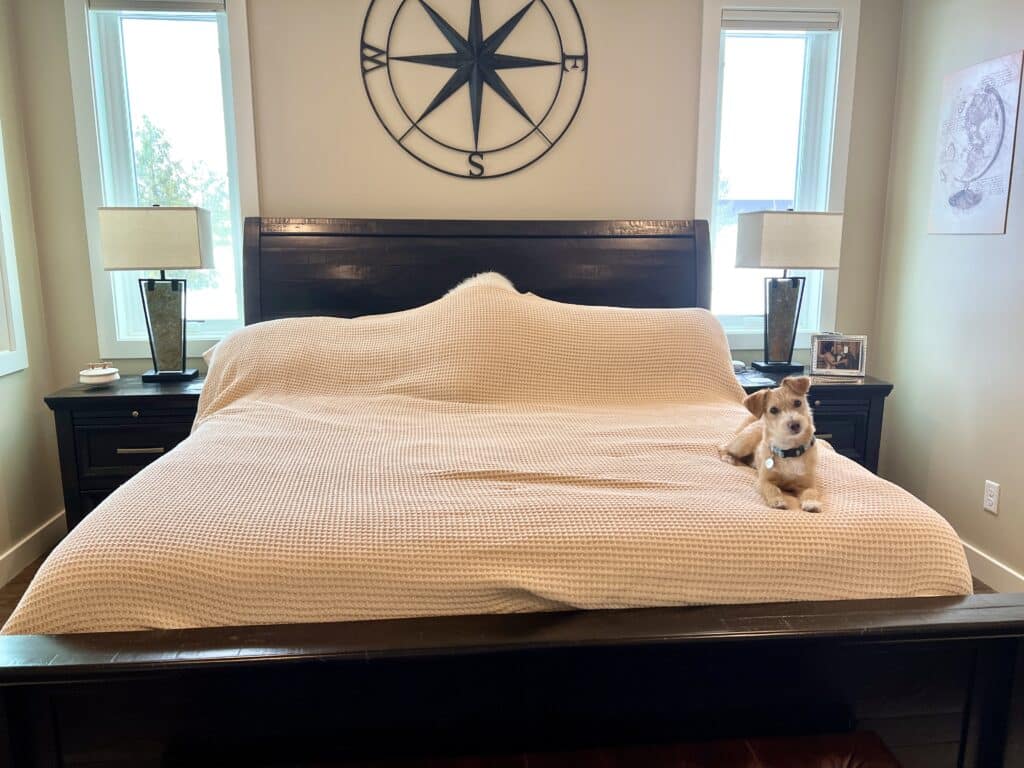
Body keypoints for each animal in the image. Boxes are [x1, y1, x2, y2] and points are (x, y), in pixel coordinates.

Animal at [720, 376, 823, 514]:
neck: (790, 450)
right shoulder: (763, 481)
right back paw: (728, 457)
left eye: (797, 403)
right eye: (773, 410)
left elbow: (811, 492)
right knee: (723, 447)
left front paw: (811, 503)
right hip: (744, 443)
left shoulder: (808, 483)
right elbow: (772, 488)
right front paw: (778, 501)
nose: (795, 424)